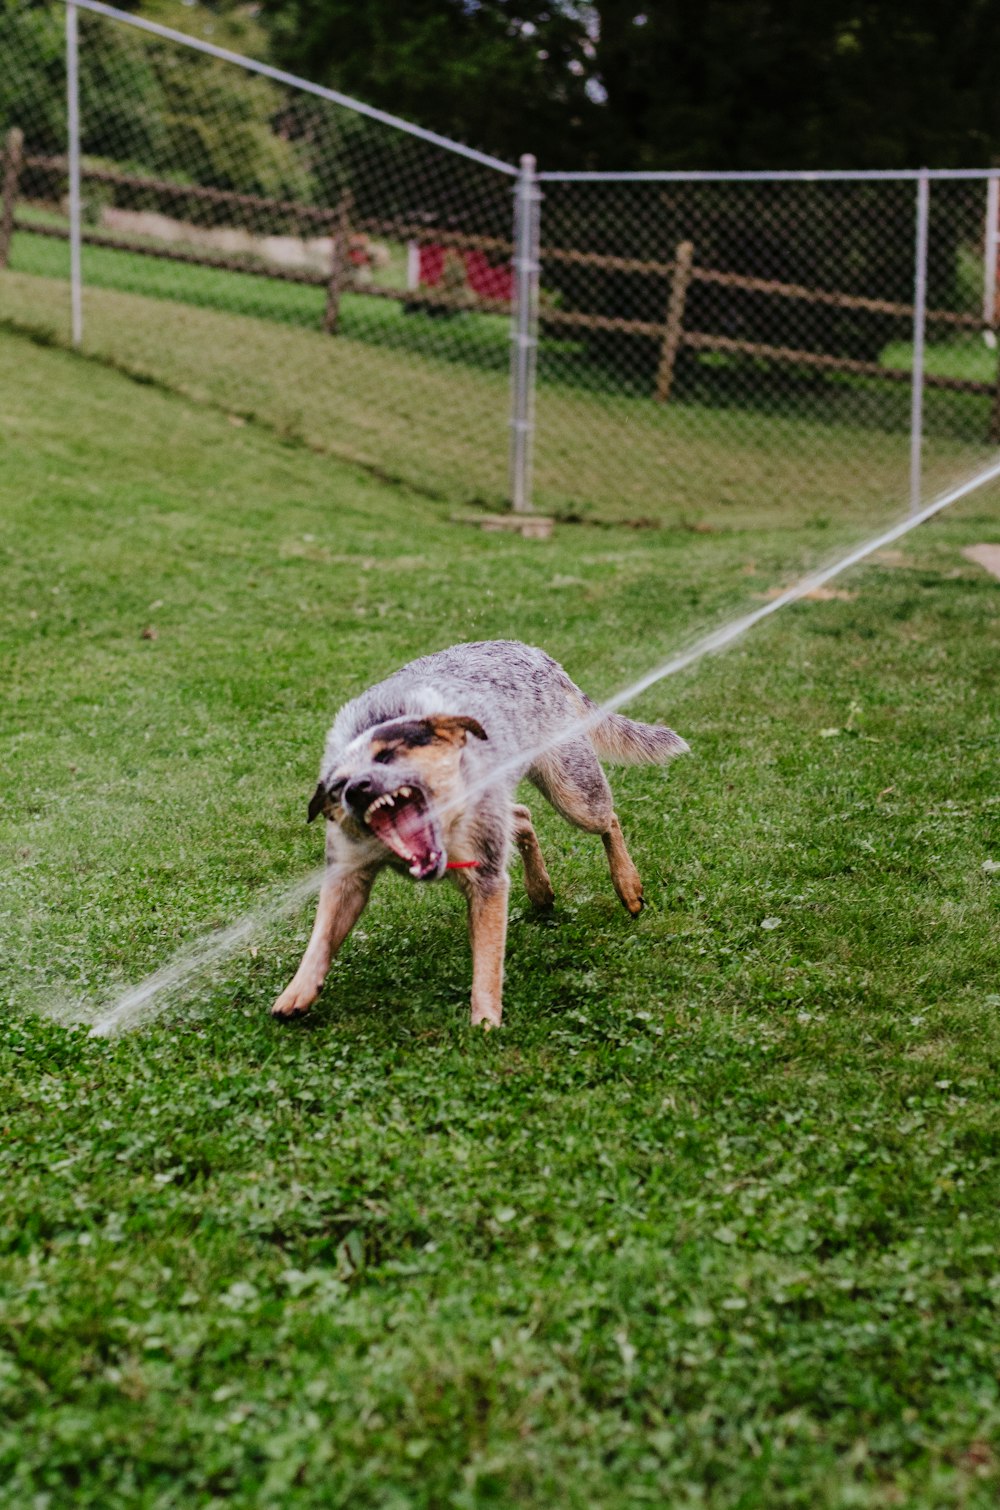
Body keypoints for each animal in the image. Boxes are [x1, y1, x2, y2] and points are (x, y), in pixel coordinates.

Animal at [274, 637, 688, 1026]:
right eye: (337, 786)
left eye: (387, 755)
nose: (355, 789)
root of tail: (535, 652)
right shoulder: (348, 873)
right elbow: (321, 936)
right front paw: (296, 992)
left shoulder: (486, 876)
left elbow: (487, 960)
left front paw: (485, 1022)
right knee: (522, 817)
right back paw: (540, 890)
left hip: (573, 793)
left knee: (609, 820)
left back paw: (628, 885)